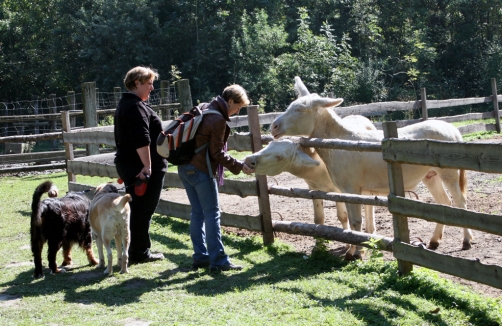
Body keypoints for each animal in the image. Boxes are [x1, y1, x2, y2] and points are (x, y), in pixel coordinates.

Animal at [270, 76, 470, 260]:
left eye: (299, 109)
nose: (274, 127)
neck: (338, 144)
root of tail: (454, 131)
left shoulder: (352, 188)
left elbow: (356, 221)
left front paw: (356, 253)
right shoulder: (344, 190)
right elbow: (350, 220)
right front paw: (351, 250)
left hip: (449, 173)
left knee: (460, 203)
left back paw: (466, 241)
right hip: (430, 175)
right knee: (445, 204)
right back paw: (434, 241)